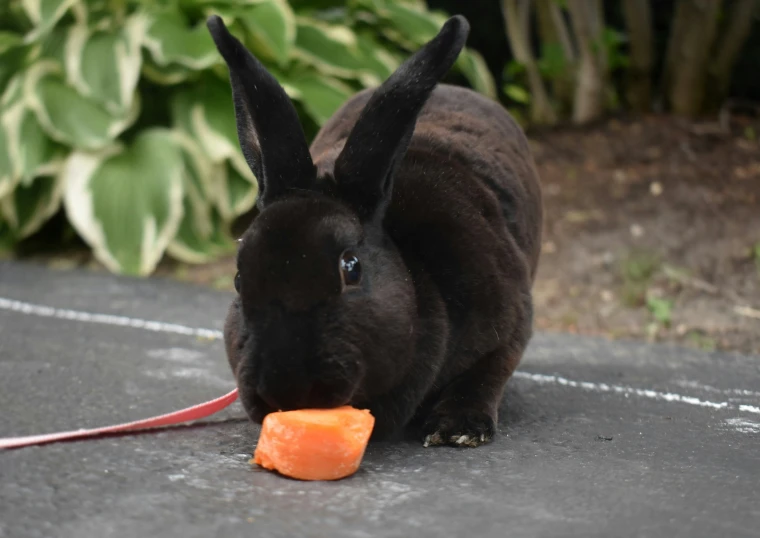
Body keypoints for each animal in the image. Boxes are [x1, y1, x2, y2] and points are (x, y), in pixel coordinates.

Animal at [208, 14, 540, 446]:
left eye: (351, 268)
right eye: (237, 279)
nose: (284, 387)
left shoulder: (512, 324)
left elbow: (488, 373)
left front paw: (457, 428)